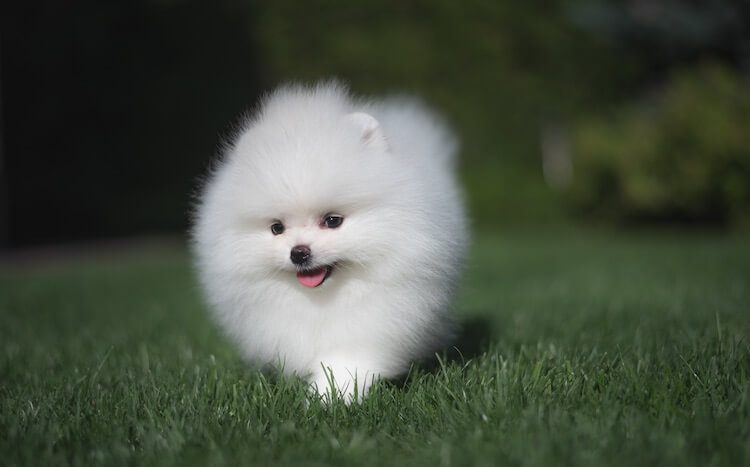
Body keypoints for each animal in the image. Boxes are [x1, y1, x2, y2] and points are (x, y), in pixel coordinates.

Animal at [191, 81, 468, 402]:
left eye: (333, 220)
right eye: (277, 228)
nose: (299, 253)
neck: (323, 301)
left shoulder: (376, 320)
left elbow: (347, 361)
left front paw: (332, 396)